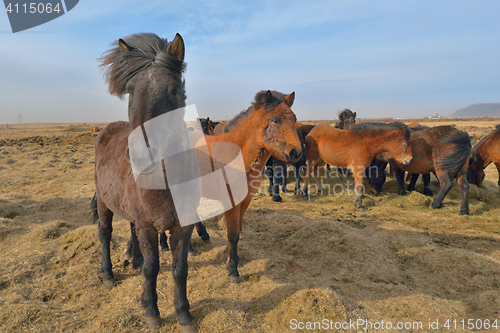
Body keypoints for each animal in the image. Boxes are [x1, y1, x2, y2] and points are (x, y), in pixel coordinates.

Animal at [93, 32, 196, 330]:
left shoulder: (183, 227)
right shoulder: (148, 226)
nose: (140, 155)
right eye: (131, 92)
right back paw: (108, 274)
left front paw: (184, 314)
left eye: (174, 91)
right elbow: (153, 269)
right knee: (105, 233)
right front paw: (151, 310)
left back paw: (134, 258)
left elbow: (179, 270)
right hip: (103, 203)